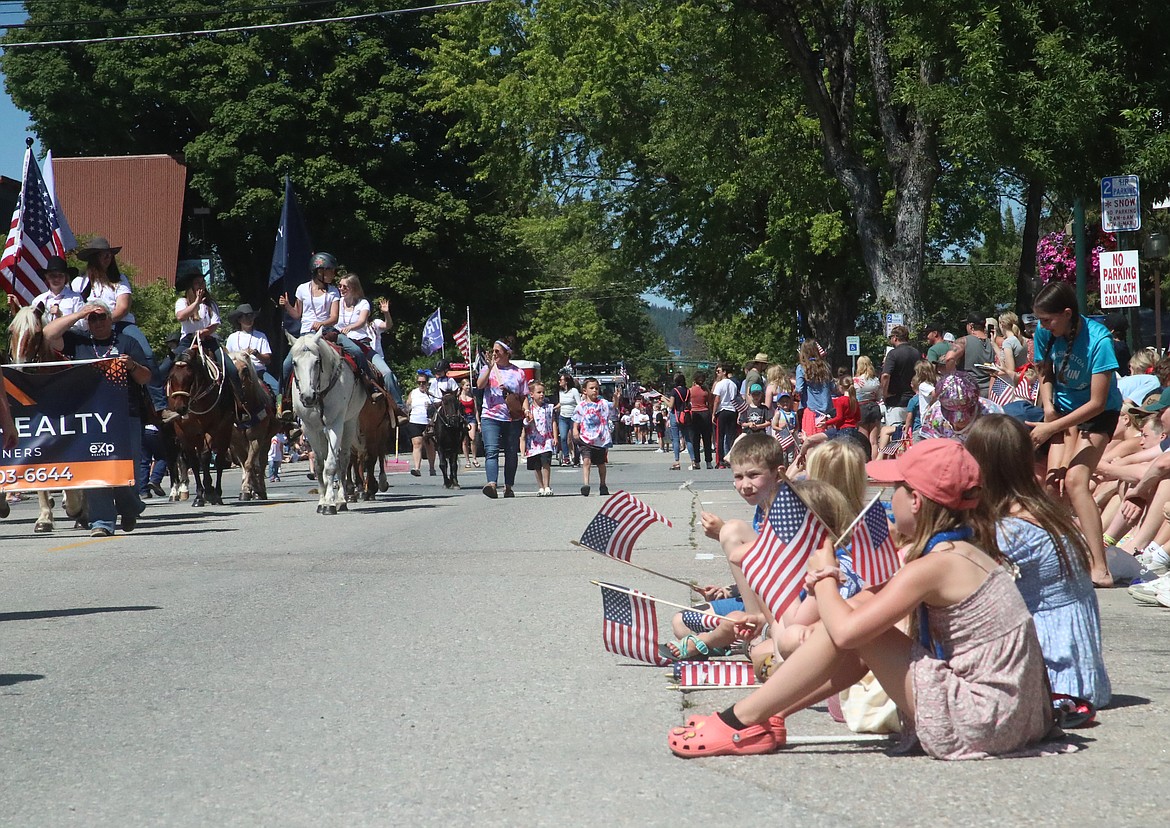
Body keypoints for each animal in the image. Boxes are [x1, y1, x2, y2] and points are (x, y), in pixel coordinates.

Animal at [164, 343, 235, 509]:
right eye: (171, 377)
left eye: (190, 377)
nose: (180, 408)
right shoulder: (184, 434)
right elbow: (194, 462)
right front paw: (198, 496)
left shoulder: (212, 429)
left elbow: (205, 456)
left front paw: (209, 490)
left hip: (224, 432)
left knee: (219, 460)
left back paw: (217, 493)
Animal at [226, 348, 274, 498]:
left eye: (245, 369)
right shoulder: (235, 442)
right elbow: (244, 463)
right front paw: (246, 488)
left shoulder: (256, 438)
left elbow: (250, 463)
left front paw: (250, 488)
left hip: (267, 440)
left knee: (261, 463)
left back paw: (260, 489)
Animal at [290, 332, 362, 514]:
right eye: (294, 363)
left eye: (317, 361)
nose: (308, 397)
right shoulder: (310, 428)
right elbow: (319, 465)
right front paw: (322, 501)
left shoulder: (335, 425)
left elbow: (330, 465)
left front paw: (329, 503)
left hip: (349, 423)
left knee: (343, 460)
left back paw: (342, 500)